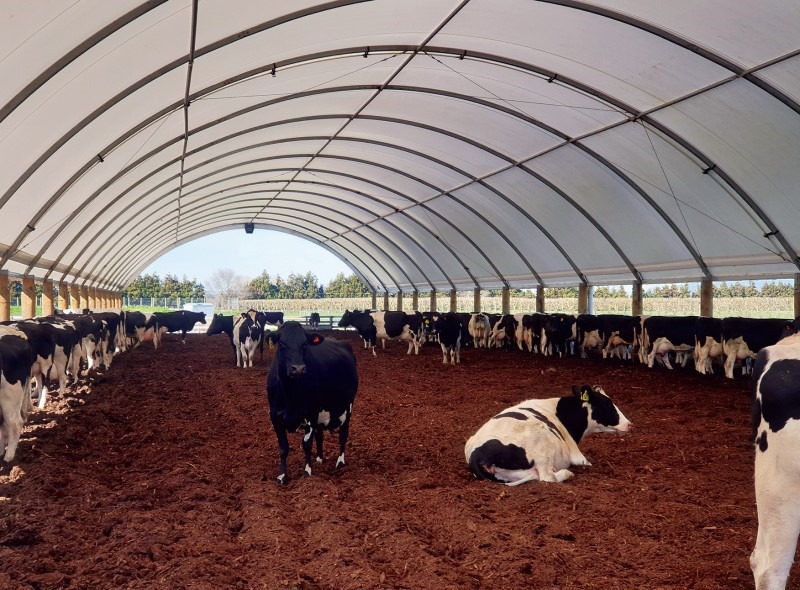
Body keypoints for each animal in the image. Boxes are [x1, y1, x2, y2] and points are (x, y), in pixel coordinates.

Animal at [268, 324, 358, 486]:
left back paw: (340, 462)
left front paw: (307, 472)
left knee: (343, 434)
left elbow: (307, 444)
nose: (298, 368)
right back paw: (319, 458)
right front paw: (282, 476)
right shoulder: (274, 415)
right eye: (282, 344)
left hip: (348, 406)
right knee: (320, 434)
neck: (290, 392)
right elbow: (283, 447)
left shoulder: (311, 413)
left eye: (304, 344)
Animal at [462, 386, 632, 488]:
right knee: (548, 477)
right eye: (608, 404)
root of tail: (475, 454)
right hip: (541, 449)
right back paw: (567, 473)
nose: (629, 424)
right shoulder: (578, 457)